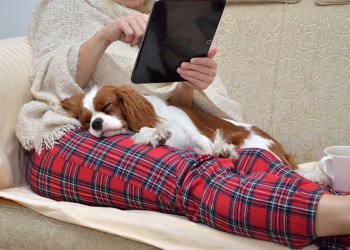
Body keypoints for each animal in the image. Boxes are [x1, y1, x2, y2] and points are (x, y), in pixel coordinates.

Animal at [60, 85, 296, 169]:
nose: (96, 123)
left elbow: (205, 145)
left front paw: (217, 151)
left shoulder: (194, 134)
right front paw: (154, 136)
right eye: (86, 121)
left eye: (107, 107)